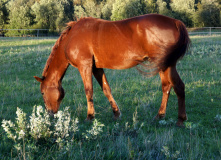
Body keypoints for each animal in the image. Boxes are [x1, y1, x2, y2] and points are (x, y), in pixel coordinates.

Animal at [34, 13, 190, 126]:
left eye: (42, 93)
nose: (50, 114)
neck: (71, 37)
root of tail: (176, 22)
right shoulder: (96, 68)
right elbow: (106, 89)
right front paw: (116, 113)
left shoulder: (85, 66)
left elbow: (88, 91)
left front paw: (90, 116)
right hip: (164, 66)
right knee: (167, 87)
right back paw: (160, 115)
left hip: (166, 65)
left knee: (178, 86)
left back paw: (180, 120)